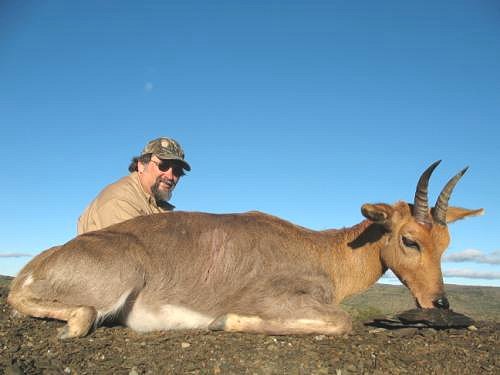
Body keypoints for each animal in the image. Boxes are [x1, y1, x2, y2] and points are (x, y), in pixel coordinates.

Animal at [6, 160, 480, 340]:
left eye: (446, 243)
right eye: (409, 239)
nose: (439, 302)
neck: (322, 251)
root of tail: (37, 264)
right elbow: (343, 321)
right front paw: (225, 320)